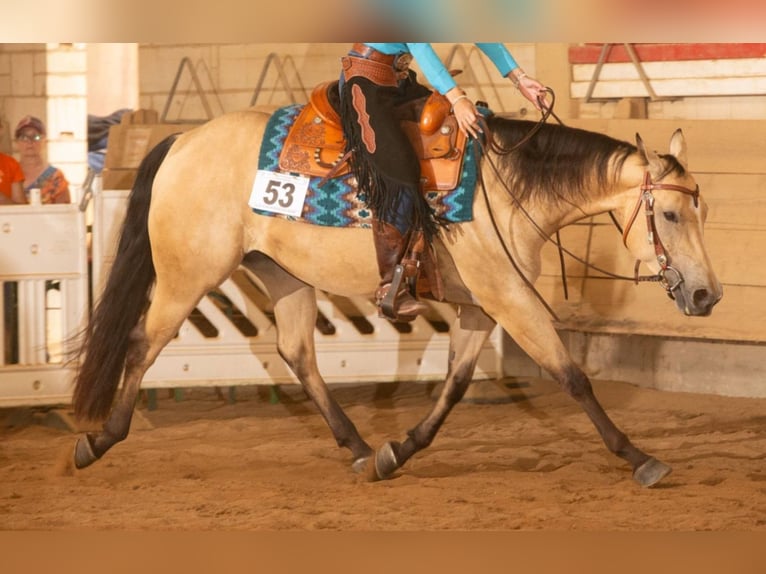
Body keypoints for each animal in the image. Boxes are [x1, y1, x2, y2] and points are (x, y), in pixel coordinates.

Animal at [69, 106, 722, 488]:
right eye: (668, 214)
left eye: (702, 212)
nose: (707, 295)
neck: (509, 191)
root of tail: (182, 140)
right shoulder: (508, 297)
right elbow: (571, 375)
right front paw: (639, 457)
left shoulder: (479, 307)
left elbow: (455, 385)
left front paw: (398, 451)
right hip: (187, 276)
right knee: (142, 343)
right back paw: (98, 441)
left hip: (283, 276)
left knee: (297, 355)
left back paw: (359, 447)